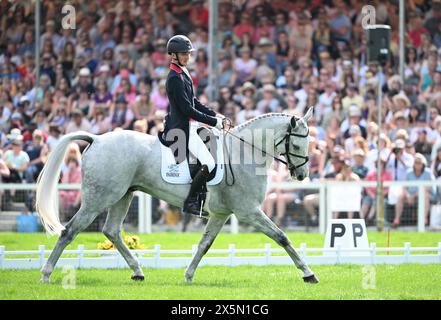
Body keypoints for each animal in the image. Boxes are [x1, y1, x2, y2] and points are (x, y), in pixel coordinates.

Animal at [35, 109, 316, 284]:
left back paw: (138, 272)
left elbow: (204, 245)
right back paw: (46, 274)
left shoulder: (221, 213)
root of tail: (97, 139)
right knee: (70, 231)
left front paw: (188, 275)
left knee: (112, 231)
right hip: (98, 199)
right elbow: (281, 237)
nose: (302, 174)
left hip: (123, 195)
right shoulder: (249, 211)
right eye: (297, 144)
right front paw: (308, 273)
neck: (244, 151)